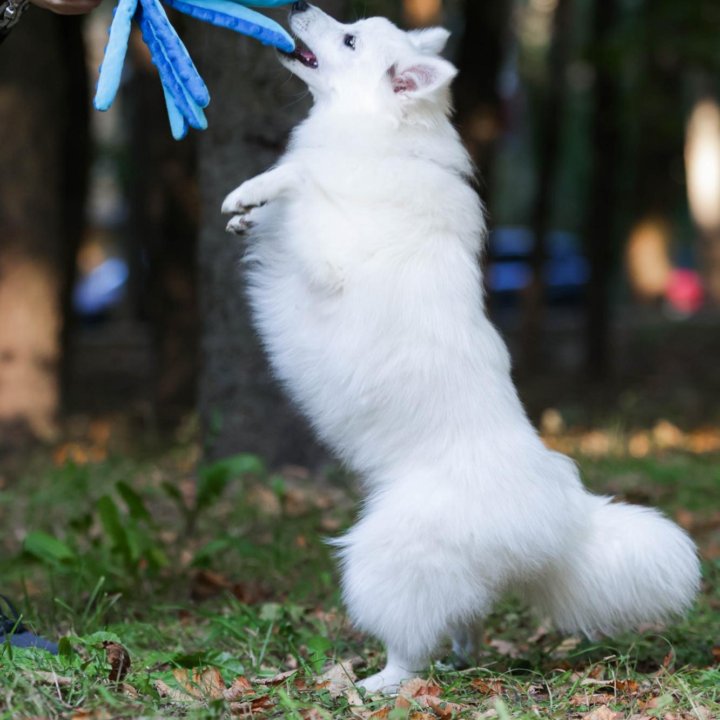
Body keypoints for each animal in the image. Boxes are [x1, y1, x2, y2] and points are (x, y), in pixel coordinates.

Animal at [222, 2, 700, 696]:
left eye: (349, 39)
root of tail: (564, 520)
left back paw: (376, 684)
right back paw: (455, 658)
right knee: (465, 618)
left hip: (385, 559)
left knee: (408, 644)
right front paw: (246, 217)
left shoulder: (330, 250)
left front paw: (254, 191)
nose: (299, 8)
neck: (381, 135)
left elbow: (304, 176)